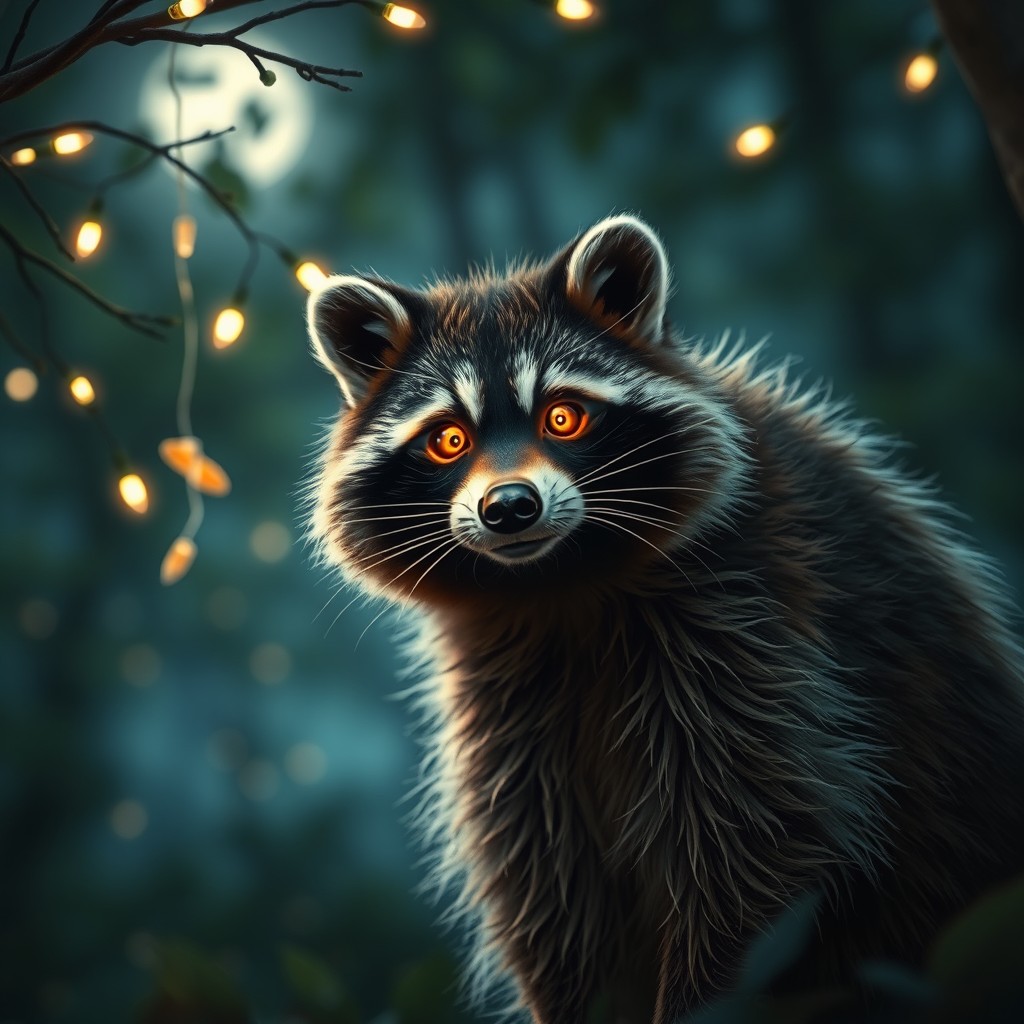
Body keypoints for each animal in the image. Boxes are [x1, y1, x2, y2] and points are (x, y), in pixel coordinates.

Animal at [304, 215, 1024, 1023]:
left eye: (563, 416)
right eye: (448, 439)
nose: (510, 507)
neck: (558, 585)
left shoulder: (748, 619)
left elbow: (758, 848)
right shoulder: (508, 699)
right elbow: (552, 884)